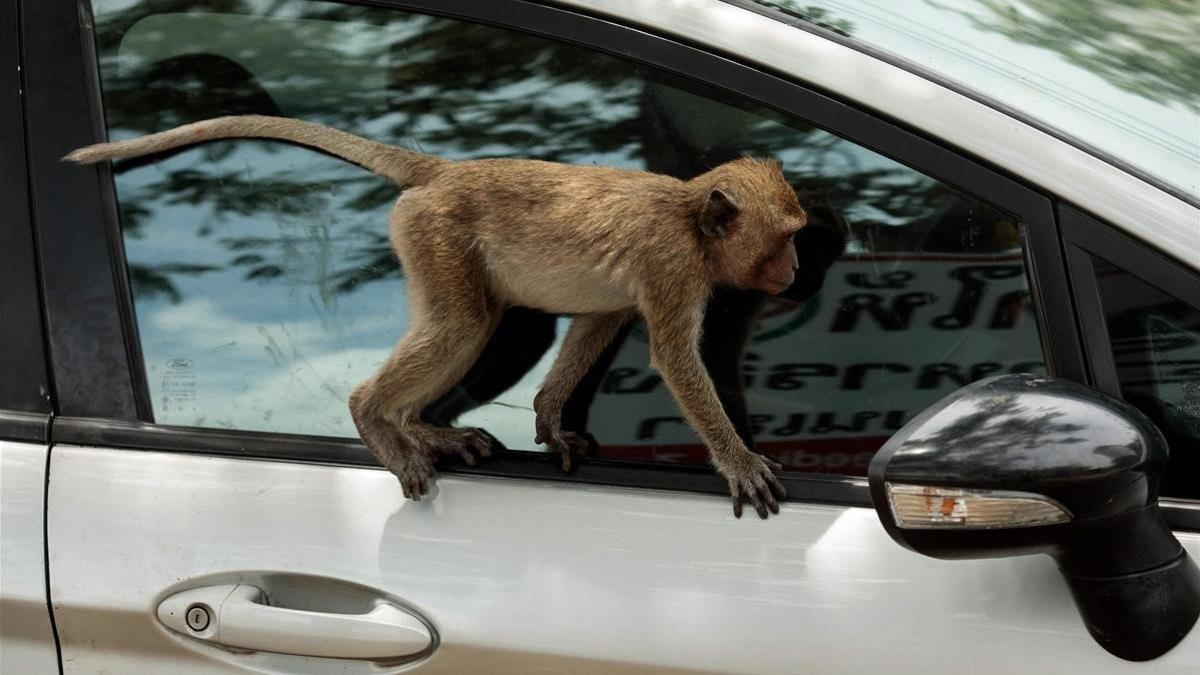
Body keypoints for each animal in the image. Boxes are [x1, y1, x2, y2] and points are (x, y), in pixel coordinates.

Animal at [63, 114, 806, 514]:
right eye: (786, 238)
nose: (797, 269)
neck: (690, 217)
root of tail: (446, 171)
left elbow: (597, 321)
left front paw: (549, 417)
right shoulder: (673, 266)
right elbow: (676, 359)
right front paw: (738, 459)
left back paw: (422, 428)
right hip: (434, 234)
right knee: (465, 324)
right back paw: (378, 419)